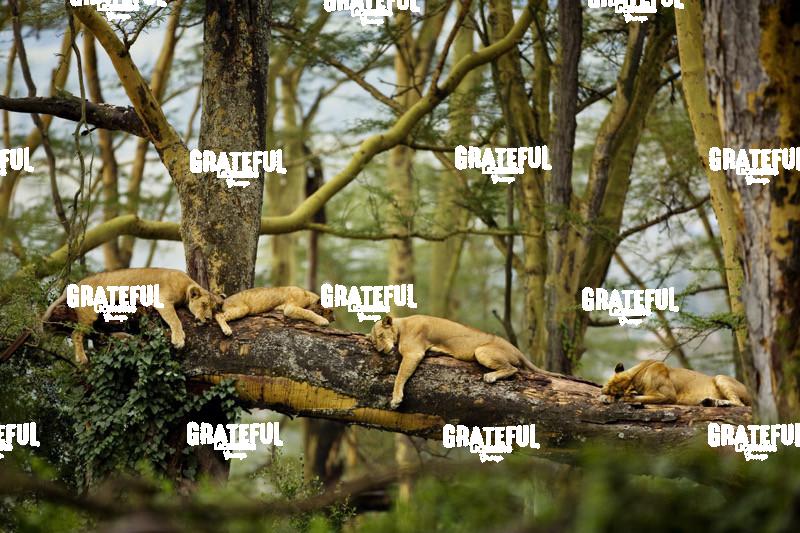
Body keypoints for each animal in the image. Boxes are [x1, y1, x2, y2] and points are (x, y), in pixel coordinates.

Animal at [42, 268, 223, 365]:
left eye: (213, 309)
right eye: (204, 305)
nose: (208, 318)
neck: (186, 285)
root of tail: (76, 284)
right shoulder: (162, 301)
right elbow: (175, 320)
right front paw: (179, 339)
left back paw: (123, 336)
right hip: (89, 312)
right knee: (77, 333)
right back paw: (81, 358)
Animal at [369, 315, 559, 409]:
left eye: (381, 336)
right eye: (374, 341)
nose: (380, 350)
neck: (401, 325)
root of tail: (516, 349)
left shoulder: (413, 353)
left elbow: (399, 377)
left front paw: (396, 399)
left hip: (482, 351)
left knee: (513, 368)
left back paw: (490, 377)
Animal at [600, 360, 751, 407]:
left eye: (616, 393)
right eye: (605, 386)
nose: (603, 392)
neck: (638, 375)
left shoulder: (669, 396)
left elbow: (639, 398)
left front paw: (624, 398)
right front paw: (604, 397)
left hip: (720, 378)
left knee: (740, 404)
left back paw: (720, 402)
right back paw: (710, 402)